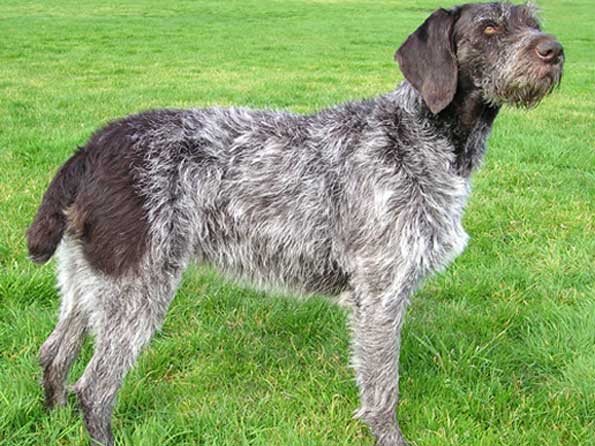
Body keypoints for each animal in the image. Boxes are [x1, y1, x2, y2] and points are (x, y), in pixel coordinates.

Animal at [26, 1, 564, 444]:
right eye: (489, 27)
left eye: (533, 20)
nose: (554, 50)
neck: (419, 133)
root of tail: (94, 147)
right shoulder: (380, 296)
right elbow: (383, 392)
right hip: (137, 287)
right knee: (94, 388)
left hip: (91, 280)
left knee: (54, 356)